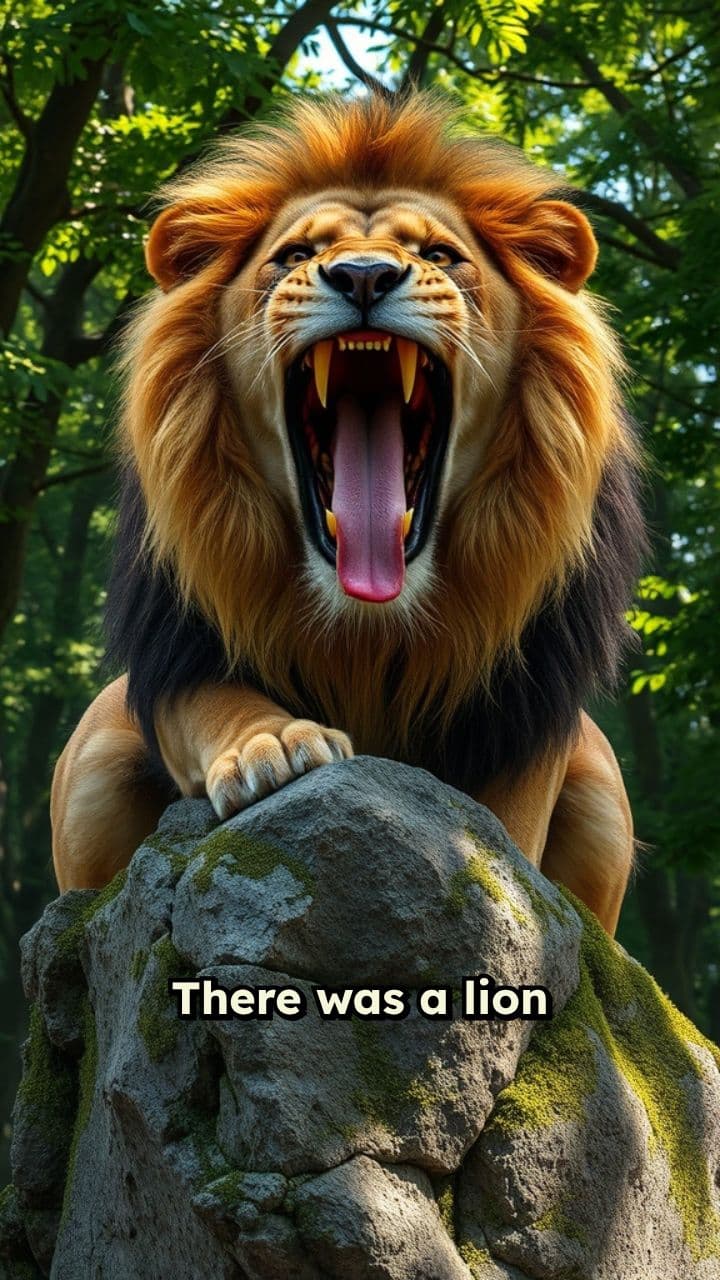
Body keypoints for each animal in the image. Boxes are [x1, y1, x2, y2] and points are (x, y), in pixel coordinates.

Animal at [51, 92, 644, 935]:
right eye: (294, 254)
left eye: (444, 255)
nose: (364, 274)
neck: (369, 626)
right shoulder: (175, 650)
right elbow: (215, 700)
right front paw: (276, 746)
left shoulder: (532, 715)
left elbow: (506, 831)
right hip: (97, 756)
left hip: (601, 786)